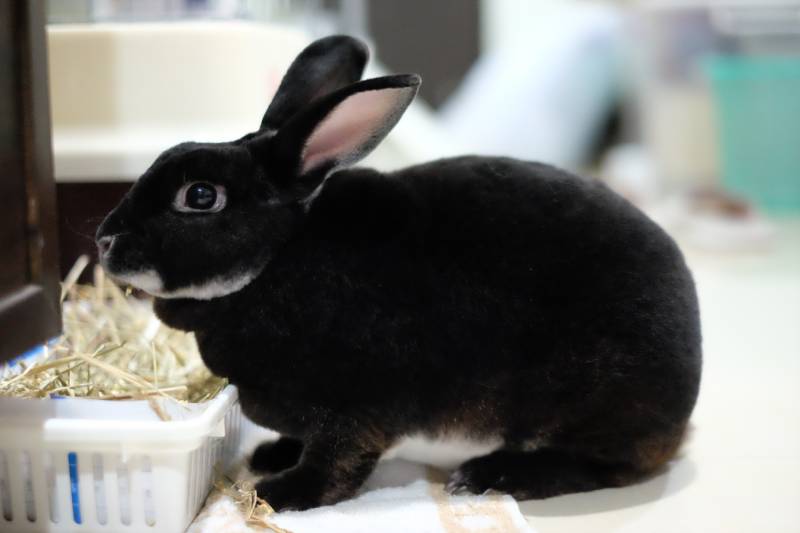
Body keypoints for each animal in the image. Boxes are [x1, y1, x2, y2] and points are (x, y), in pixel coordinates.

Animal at [98, 35, 700, 510]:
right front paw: (271, 456)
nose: (104, 241)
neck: (276, 262)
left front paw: (280, 493)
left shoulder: (354, 411)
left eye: (200, 196)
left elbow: (337, 465)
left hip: (596, 404)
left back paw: (491, 476)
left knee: (607, 466)